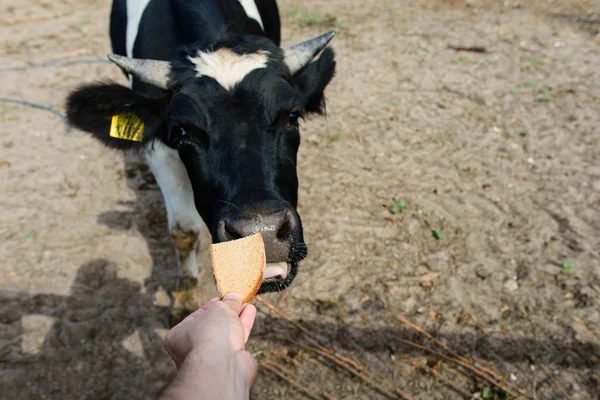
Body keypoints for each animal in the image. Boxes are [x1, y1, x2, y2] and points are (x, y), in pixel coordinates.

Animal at [65, 0, 338, 294]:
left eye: (292, 116)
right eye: (182, 131)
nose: (262, 231)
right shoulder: (161, 152)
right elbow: (183, 229)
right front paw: (185, 294)